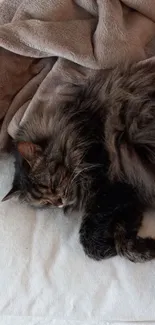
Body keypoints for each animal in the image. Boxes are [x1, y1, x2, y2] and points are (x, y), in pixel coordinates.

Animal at [3, 62, 155, 262]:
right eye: (45, 203)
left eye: (51, 185)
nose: (59, 202)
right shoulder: (130, 193)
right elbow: (124, 239)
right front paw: (141, 248)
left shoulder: (111, 185)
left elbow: (90, 233)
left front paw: (105, 247)